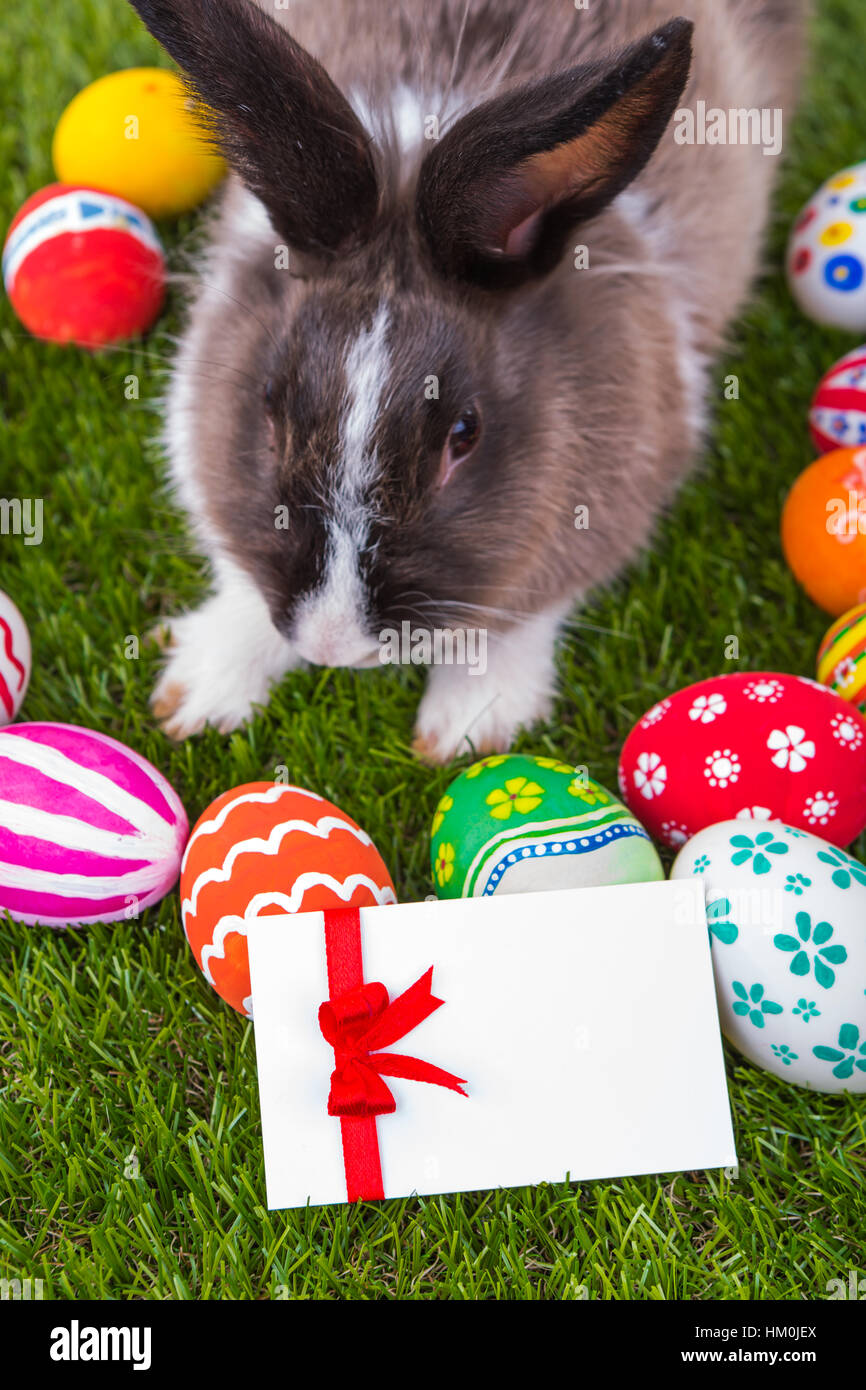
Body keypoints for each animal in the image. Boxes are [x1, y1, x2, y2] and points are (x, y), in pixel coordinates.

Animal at [129, 0, 807, 763]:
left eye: (464, 433)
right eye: (270, 401)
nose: (332, 644)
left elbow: (526, 612)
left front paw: (469, 728)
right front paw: (200, 693)